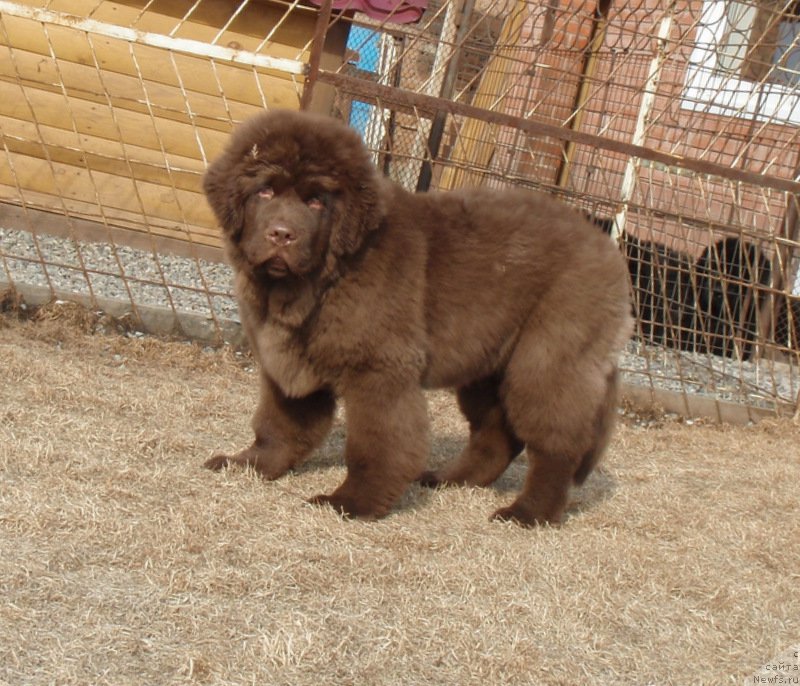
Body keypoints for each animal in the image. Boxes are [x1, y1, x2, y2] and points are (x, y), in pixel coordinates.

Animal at [203, 109, 636, 528]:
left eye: (316, 202)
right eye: (264, 191)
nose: (281, 234)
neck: (317, 282)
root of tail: (606, 246)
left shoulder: (380, 368)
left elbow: (377, 443)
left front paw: (353, 502)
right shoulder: (288, 358)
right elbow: (280, 423)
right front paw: (249, 464)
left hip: (548, 360)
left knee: (556, 444)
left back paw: (528, 513)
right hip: (489, 361)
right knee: (497, 435)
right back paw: (450, 479)